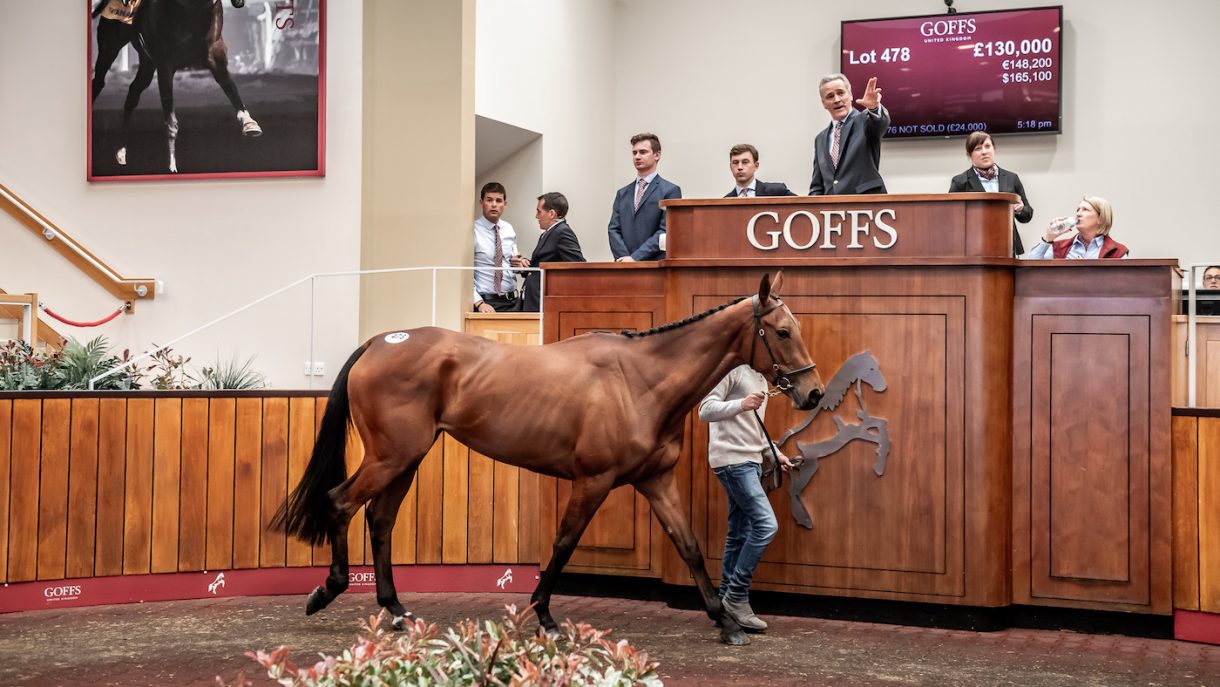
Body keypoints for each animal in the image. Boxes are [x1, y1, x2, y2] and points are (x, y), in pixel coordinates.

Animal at [91, 0, 260, 173]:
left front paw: (249, 123)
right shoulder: (165, 64)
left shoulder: (215, 54)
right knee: (99, 81)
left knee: (133, 91)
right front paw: (172, 166)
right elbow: (171, 120)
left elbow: (229, 86)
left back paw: (121, 151)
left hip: (147, 61)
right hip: (110, 46)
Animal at [271, 272, 825, 646]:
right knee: (341, 503)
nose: (814, 394)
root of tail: (379, 342)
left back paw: (397, 610)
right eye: (780, 331)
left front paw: (725, 620)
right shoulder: (593, 480)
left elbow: (688, 547)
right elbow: (563, 543)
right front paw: (545, 616)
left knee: (380, 520)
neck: (639, 380)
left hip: (405, 460)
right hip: (391, 457)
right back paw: (327, 591)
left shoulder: (656, 480)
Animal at [777, 350, 890, 528]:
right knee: (794, 490)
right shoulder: (852, 432)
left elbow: (881, 425)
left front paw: (879, 463)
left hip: (799, 467)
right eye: (871, 368)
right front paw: (879, 464)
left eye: (877, 367)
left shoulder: (864, 425)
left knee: (792, 488)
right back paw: (805, 520)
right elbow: (879, 432)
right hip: (810, 466)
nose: (882, 387)